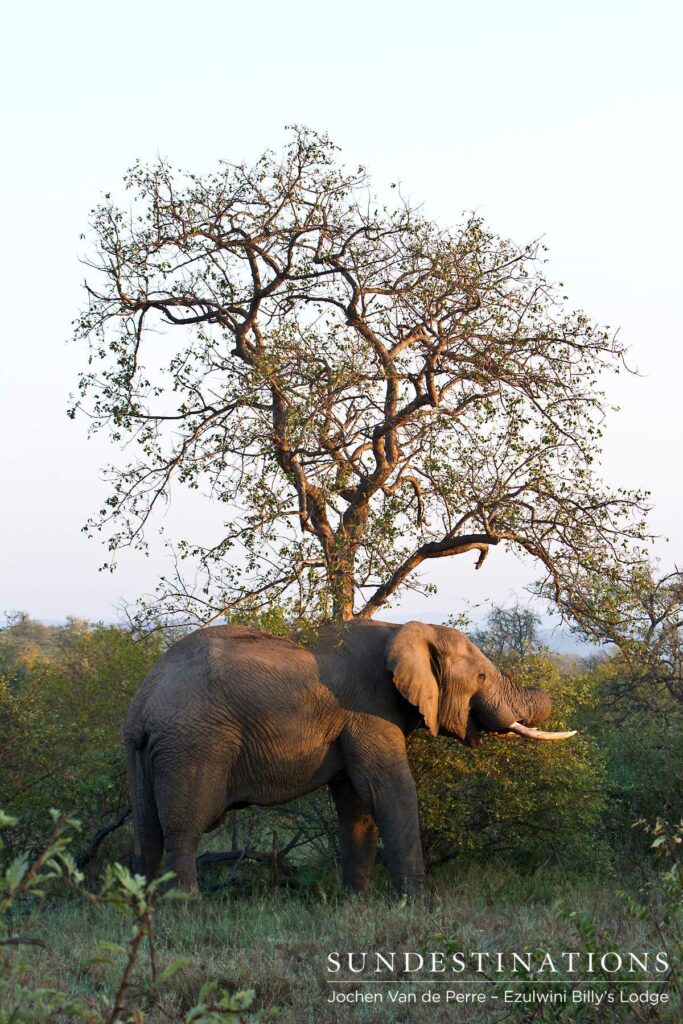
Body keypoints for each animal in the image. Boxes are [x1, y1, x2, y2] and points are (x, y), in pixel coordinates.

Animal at [124, 618, 576, 895]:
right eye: (480, 676)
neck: (404, 627)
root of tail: (141, 705)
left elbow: (356, 804)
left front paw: (358, 901)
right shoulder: (367, 711)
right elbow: (390, 789)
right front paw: (417, 906)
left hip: (150, 752)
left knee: (147, 832)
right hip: (192, 745)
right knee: (182, 829)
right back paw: (187, 907)